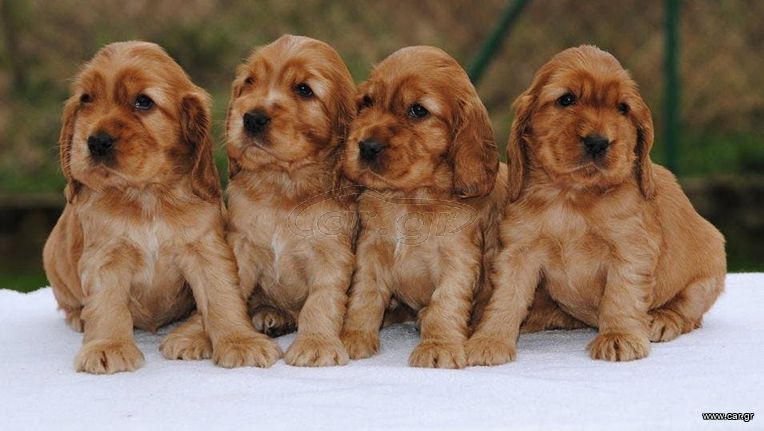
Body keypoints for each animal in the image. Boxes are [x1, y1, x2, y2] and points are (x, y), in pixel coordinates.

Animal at [42, 39, 280, 374]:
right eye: (86, 99)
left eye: (143, 102)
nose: (96, 141)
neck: (147, 197)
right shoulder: (105, 256)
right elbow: (107, 304)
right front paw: (108, 346)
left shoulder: (206, 250)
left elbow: (222, 296)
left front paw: (239, 341)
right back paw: (78, 317)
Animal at [224, 34, 358, 368]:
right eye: (249, 82)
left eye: (304, 90)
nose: (252, 118)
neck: (283, 188)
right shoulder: (241, 245)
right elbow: (226, 291)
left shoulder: (332, 255)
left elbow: (321, 301)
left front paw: (316, 344)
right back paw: (270, 314)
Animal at [340, 47, 508, 370]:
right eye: (367, 102)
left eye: (418, 110)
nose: (366, 146)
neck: (411, 198)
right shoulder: (371, 248)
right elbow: (364, 294)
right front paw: (352, 337)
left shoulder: (458, 258)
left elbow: (446, 302)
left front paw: (438, 346)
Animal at [468, 46, 724, 364]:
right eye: (566, 99)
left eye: (623, 108)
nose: (599, 142)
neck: (572, 197)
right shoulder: (519, 251)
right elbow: (506, 297)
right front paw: (489, 340)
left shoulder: (630, 248)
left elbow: (621, 293)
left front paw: (619, 337)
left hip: (708, 274)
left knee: (691, 313)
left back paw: (663, 319)